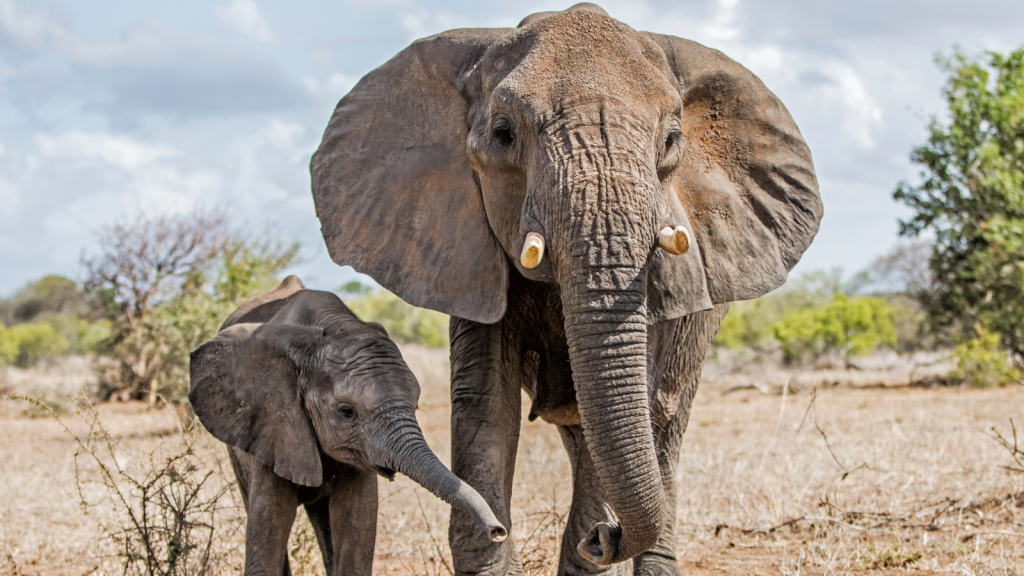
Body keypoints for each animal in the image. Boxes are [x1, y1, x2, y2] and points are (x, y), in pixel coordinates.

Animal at [190, 276, 505, 569]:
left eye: (415, 406)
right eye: (346, 411)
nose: (498, 532)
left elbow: (355, 528)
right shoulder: (274, 424)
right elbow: (267, 530)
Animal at [307, 5, 819, 573]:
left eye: (670, 141)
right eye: (503, 133)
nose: (605, 537)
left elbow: (637, 400)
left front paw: (591, 545)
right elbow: (486, 404)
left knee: (664, 422)